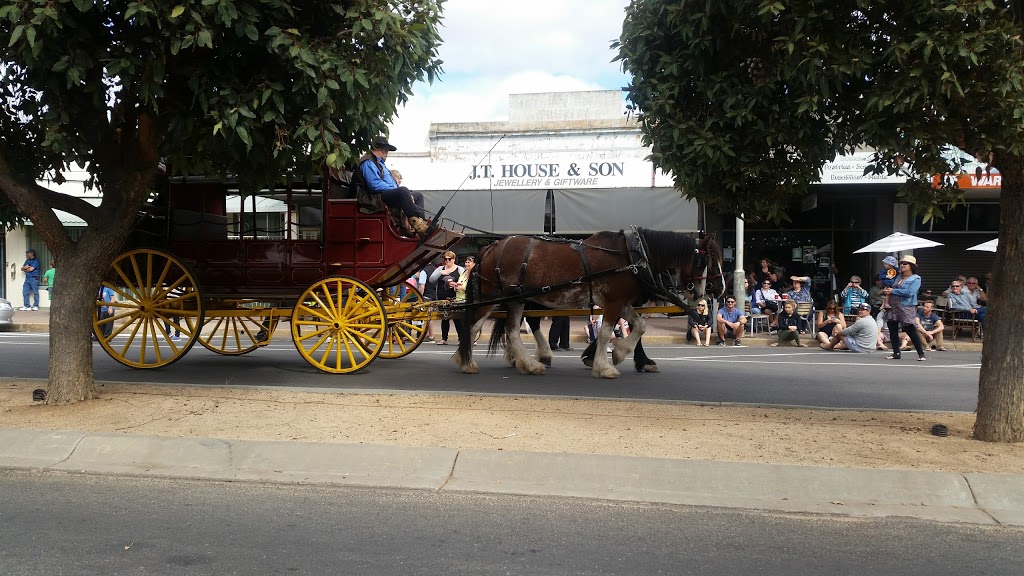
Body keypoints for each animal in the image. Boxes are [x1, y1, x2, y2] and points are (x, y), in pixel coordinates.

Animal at [456, 228, 729, 377]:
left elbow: (640, 326)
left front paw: (619, 353)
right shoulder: (613, 302)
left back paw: (529, 364)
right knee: (472, 325)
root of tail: (490, 248)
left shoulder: (622, 301)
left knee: (512, 330)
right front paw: (604, 366)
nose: (715, 290)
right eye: (703, 262)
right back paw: (467, 362)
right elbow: (607, 332)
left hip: (516, 300)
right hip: (495, 297)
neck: (632, 256)